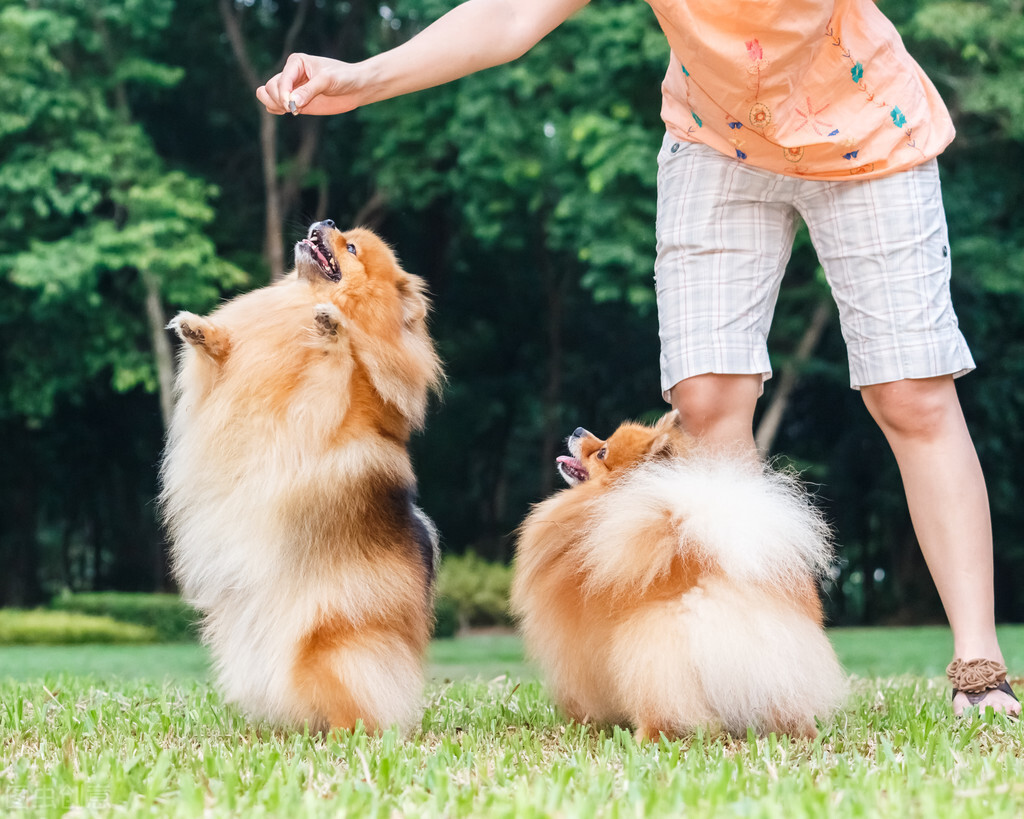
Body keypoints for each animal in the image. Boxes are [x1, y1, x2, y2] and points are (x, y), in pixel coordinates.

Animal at [161, 221, 442, 733]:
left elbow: (335, 372)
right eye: (341, 229)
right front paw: (201, 331)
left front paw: (332, 329)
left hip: (332, 648)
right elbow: (224, 356)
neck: (299, 304)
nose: (323, 224)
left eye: (350, 248)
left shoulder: (329, 410)